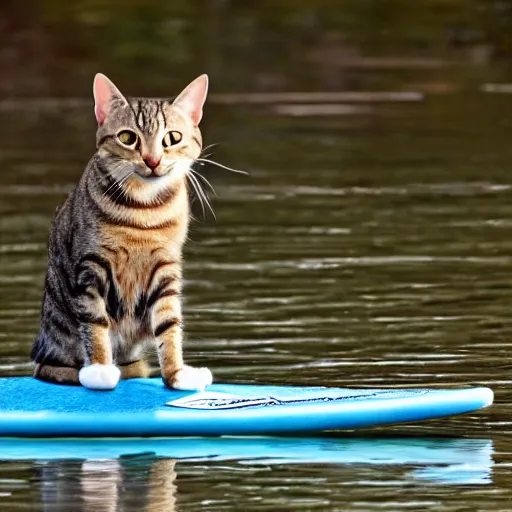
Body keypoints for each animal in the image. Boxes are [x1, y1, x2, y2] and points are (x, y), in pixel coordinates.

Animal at [29, 73, 213, 392]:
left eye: (172, 138)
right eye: (128, 138)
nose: (152, 161)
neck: (144, 208)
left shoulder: (165, 268)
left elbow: (169, 324)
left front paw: (176, 372)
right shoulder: (91, 267)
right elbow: (94, 323)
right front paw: (100, 369)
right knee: (50, 368)